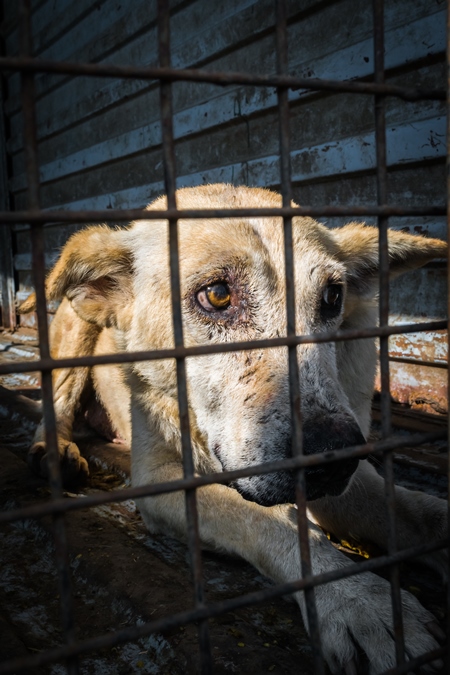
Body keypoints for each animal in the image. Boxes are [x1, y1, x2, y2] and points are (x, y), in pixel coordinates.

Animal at [19, 182, 448, 672]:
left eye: (332, 298)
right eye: (219, 295)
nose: (333, 456)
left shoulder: (356, 477)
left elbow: (417, 509)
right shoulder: (165, 478)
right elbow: (273, 522)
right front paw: (360, 602)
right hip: (74, 334)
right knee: (56, 403)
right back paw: (55, 451)